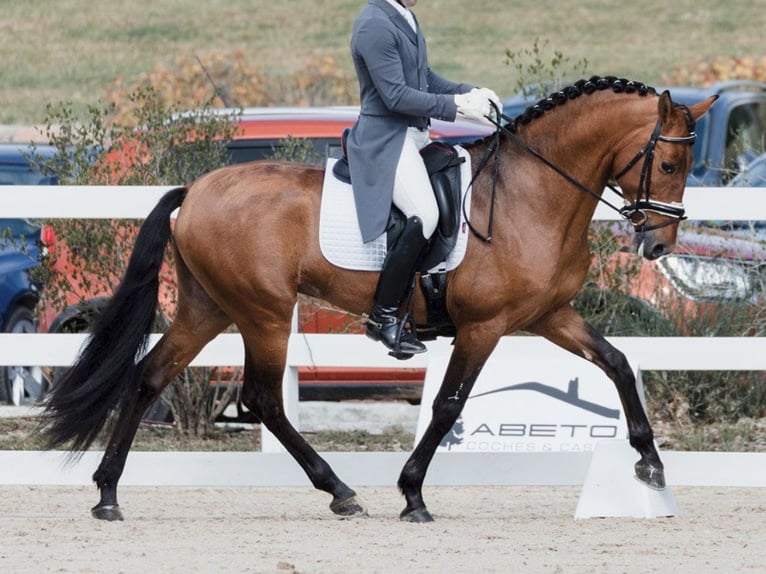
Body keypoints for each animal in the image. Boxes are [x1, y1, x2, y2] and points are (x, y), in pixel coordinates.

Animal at [43, 77, 720, 528]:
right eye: (666, 162)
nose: (658, 244)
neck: (532, 193)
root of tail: (197, 189)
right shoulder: (485, 326)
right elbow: (447, 407)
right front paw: (413, 495)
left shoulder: (548, 316)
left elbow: (618, 365)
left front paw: (651, 466)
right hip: (263, 313)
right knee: (262, 399)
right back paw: (340, 490)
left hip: (209, 308)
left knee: (149, 377)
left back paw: (108, 495)